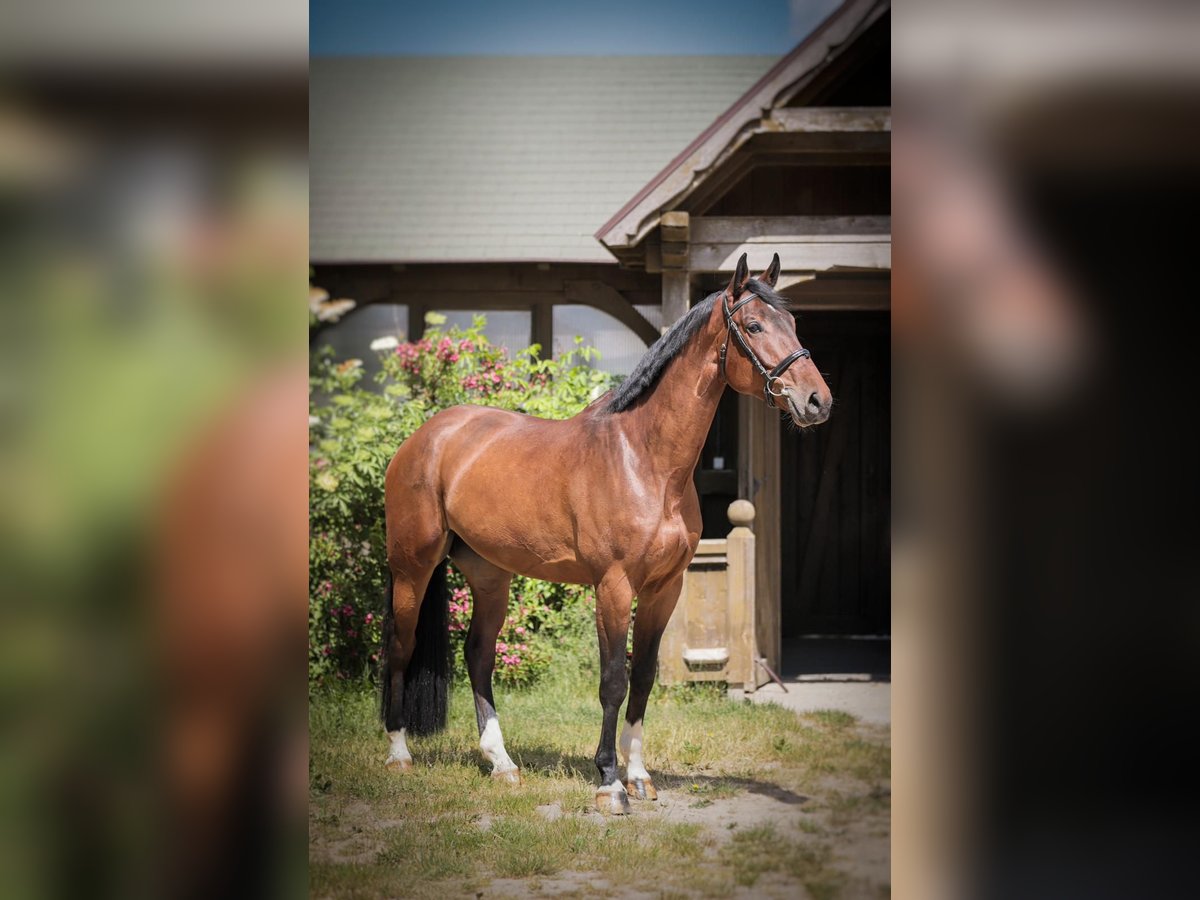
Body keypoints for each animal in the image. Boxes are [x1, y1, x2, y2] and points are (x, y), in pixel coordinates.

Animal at [379, 254, 830, 816]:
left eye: (792, 323)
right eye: (753, 326)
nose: (817, 401)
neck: (644, 460)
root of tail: (424, 437)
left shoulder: (665, 589)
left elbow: (643, 678)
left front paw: (639, 777)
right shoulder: (613, 587)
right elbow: (613, 680)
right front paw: (609, 783)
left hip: (490, 576)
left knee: (478, 655)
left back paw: (502, 764)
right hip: (412, 567)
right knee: (401, 645)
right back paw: (399, 755)